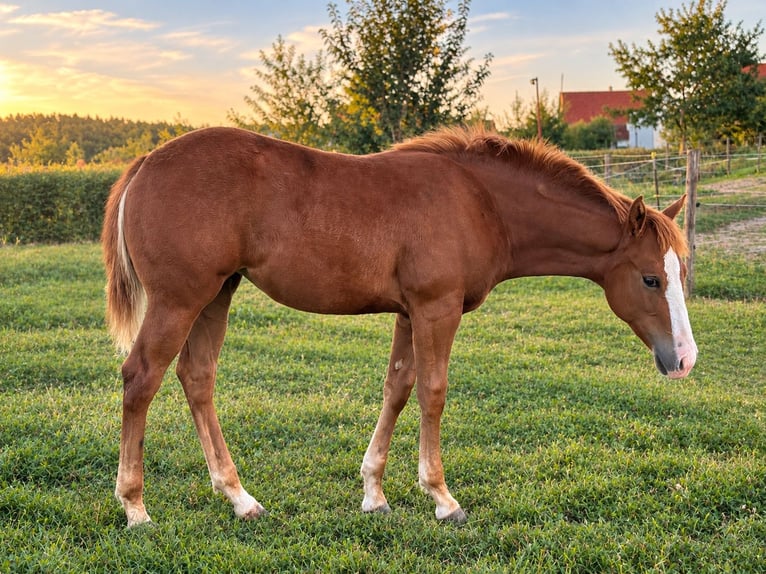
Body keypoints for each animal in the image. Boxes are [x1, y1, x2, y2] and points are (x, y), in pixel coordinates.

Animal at [102, 126, 697, 527]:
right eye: (650, 279)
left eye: (679, 273)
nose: (685, 359)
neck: (482, 202)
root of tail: (145, 162)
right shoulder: (437, 308)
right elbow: (433, 391)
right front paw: (442, 498)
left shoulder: (410, 313)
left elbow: (398, 388)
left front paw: (374, 494)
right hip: (179, 300)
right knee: (142, 377)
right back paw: (135, 507)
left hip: (216, 295)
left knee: (197, 378)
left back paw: (240, 498)